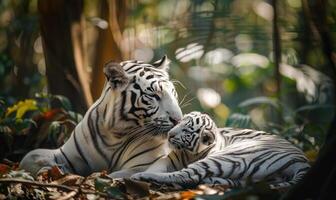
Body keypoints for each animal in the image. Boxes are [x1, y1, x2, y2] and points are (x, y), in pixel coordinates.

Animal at [19, 55, 182, 177]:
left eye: (173, 93)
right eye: (154, 95)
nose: (178, 120)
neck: (115, 134)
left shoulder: (142, 165)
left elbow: (112, 176)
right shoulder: (66, 154)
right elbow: (29, 157)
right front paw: (55, 169)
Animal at [131, 112, 310, 189]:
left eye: (186, 131)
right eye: (179, 122)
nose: (170, 134)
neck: (189, 154)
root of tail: (302, 159)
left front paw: (139, 175)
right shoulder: (169, 159)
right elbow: (157, 165)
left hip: (234, 155)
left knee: (189, 175)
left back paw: (142, 177)